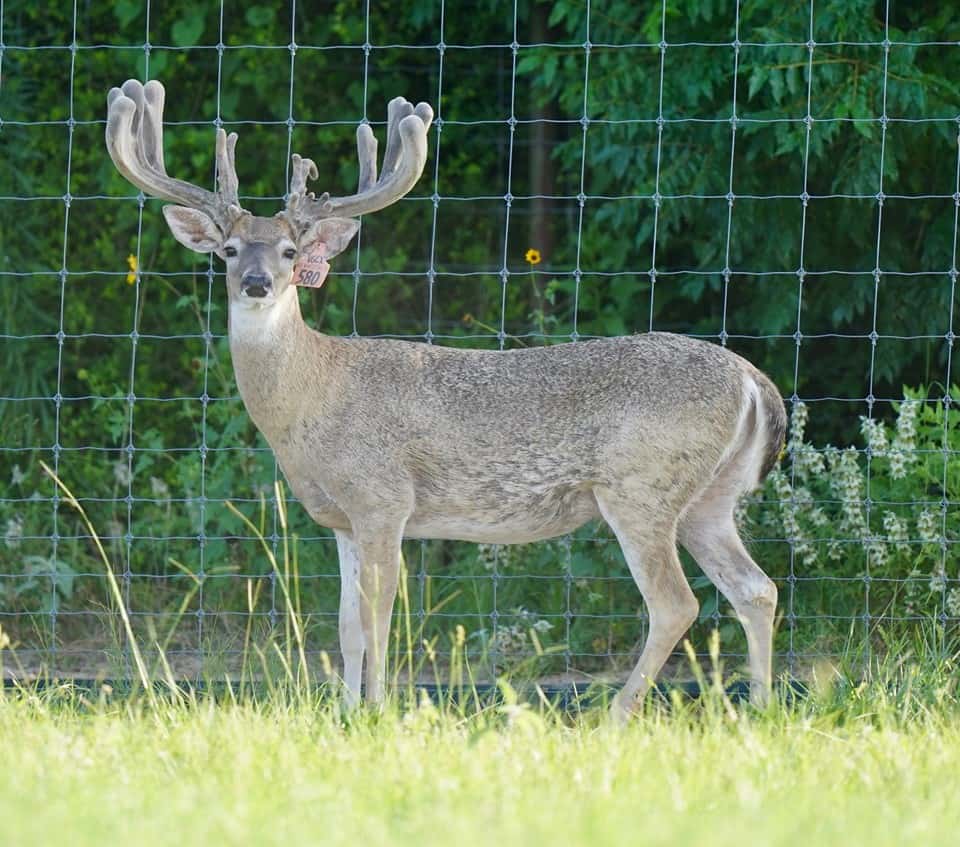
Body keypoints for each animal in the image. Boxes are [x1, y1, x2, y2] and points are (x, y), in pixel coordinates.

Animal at [105, 78, 787, 720]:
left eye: (291, 251)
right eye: (227, 250)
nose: (255, 281)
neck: (312, 397)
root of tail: (755, 381)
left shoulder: (383, 497)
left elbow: (379, 619)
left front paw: (379, 710)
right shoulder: (340, 519)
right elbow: (347, 627)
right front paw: (345, 712)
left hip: (642, 487)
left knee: (676, 603)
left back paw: (617, 716)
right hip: (708, 498)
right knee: (757, 588)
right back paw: (756, 708)